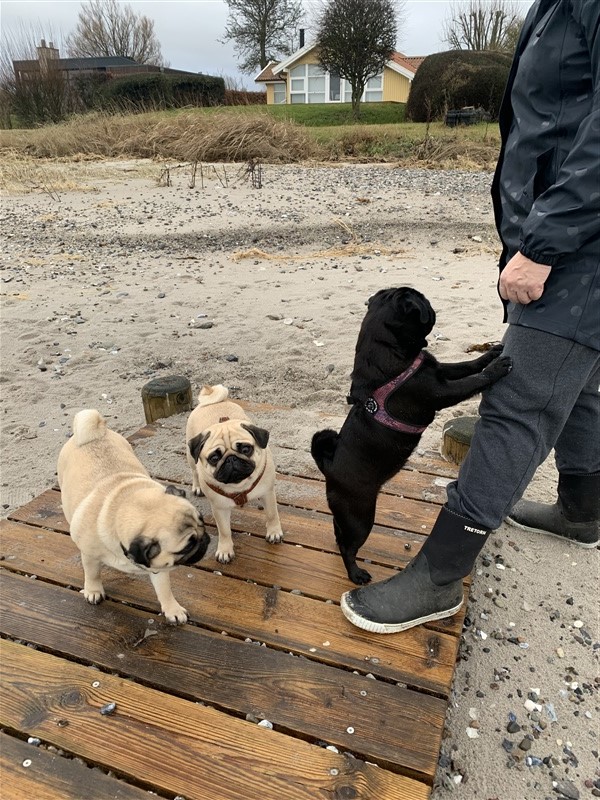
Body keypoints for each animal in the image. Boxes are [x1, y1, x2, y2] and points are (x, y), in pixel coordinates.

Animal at [57, 409, 209, 623]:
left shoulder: (159, 566)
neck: (123, 504)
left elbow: (164, 590)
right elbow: (92, 573)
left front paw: (172, 609)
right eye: (187, 546)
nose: (205, 539)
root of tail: (95, 435)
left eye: (202, 521)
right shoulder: (89, 555)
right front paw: (93, 590)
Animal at [186, 385, 283, 563]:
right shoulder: (220, 507)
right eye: (214, 458)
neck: (239, 486)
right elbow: (224, 531)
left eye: (246, 449)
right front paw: (225, 549)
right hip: (191, 457)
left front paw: (274, 532)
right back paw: (197, 487)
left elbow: (272, 514)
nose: (231, 459)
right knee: (194, 471)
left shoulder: (267, 493)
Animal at [311, 287, 512, 585]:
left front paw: (490, 355)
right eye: (423, 301)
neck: (393, 354)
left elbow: (466, 364)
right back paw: (356, 574)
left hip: (345, 515)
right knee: (349, 546)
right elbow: (471, 380)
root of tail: (329, 465)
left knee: (339, 534)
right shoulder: (440, 391)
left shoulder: (441, 371)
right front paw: (495, 369)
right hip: (360, 516)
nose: (430, 301)